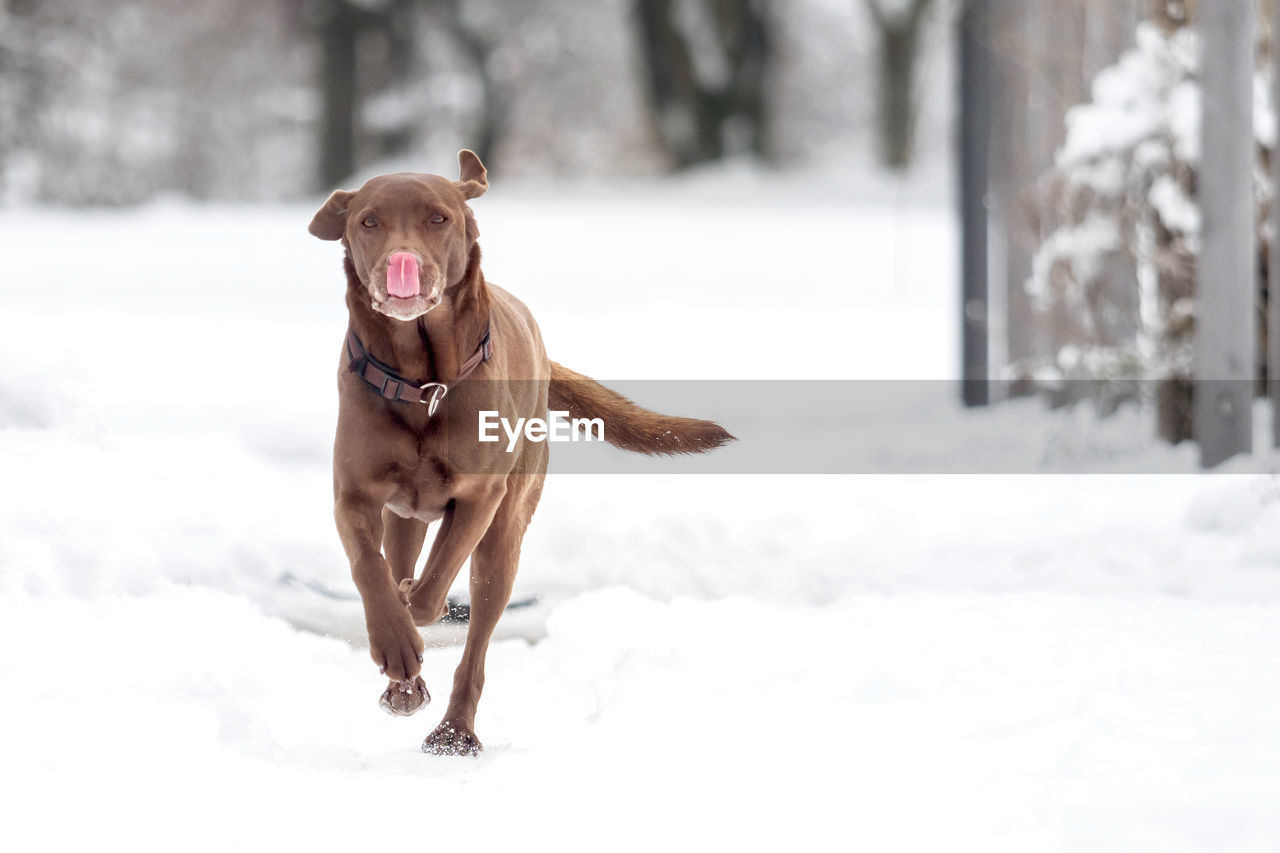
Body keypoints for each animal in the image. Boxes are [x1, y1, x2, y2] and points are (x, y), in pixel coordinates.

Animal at [305, 151, 737, 753]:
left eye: (438, 218)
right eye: (368, 222)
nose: (402, 265)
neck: (423, 383)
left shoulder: (481, 497)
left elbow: (432, 590)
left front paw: (414, 617)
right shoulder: (356, 496)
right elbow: (371, 570)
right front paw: (396, 647)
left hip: (504, 540)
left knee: (475, 638)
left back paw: (455, 733)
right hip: (405, 519)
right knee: (399, 559)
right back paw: (406, 686)